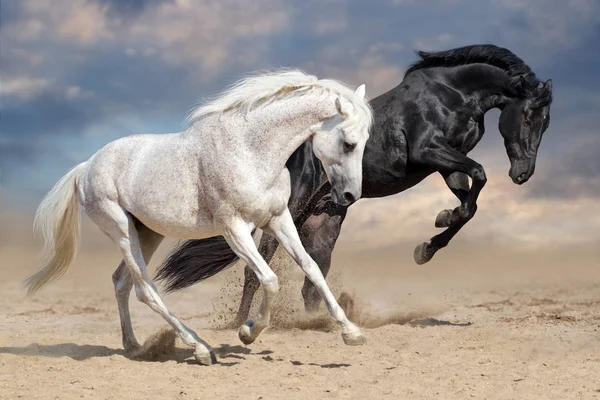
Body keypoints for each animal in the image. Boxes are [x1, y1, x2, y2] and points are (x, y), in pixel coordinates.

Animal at [25, 69, 372, 366]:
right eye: (348, 143)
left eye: (365, 142)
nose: (349, 196)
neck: (250, 151)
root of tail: (86, 167)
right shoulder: (234, 229)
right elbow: (269, 280)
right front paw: (247, 332)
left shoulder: (278, 219)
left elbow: (311, 268)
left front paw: (352, 333)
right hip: (122, 231)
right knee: (144, 290)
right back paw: (201, 349)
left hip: (148, 233)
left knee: (121, 282)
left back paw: (135, 346)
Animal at [154, 43, 552, 324]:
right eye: (530, 116)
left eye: (546, 121)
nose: (523, 174)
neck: (451, 94)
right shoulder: (429, 151)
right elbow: (480, 176)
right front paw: (433, 234)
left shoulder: (446, 164)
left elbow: (470, 203)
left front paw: (430, 241)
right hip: (287, 215)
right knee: (256, 271)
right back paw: (241, 324)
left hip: (323, 222)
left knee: (311, 280)